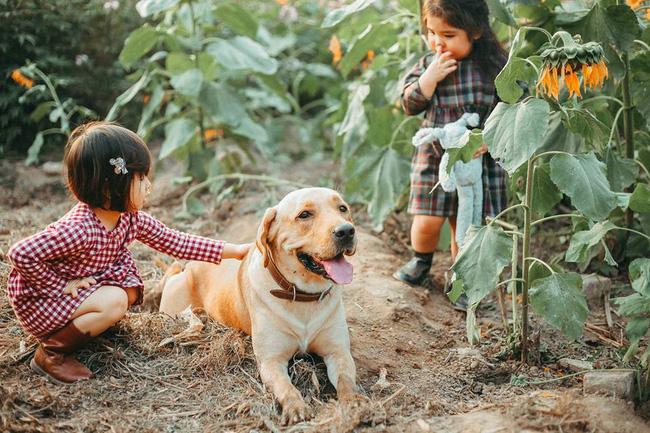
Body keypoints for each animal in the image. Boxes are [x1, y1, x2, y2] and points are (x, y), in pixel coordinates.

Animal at [158, 186, 360, 422]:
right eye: (304, 215)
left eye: (342, 208)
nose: (346, 231)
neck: (302, 295)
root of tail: (189, 266)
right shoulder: (271, 361)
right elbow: (286, 387)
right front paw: (296, 407)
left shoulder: (338, 352)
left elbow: (346, 380)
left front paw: (354, 402)